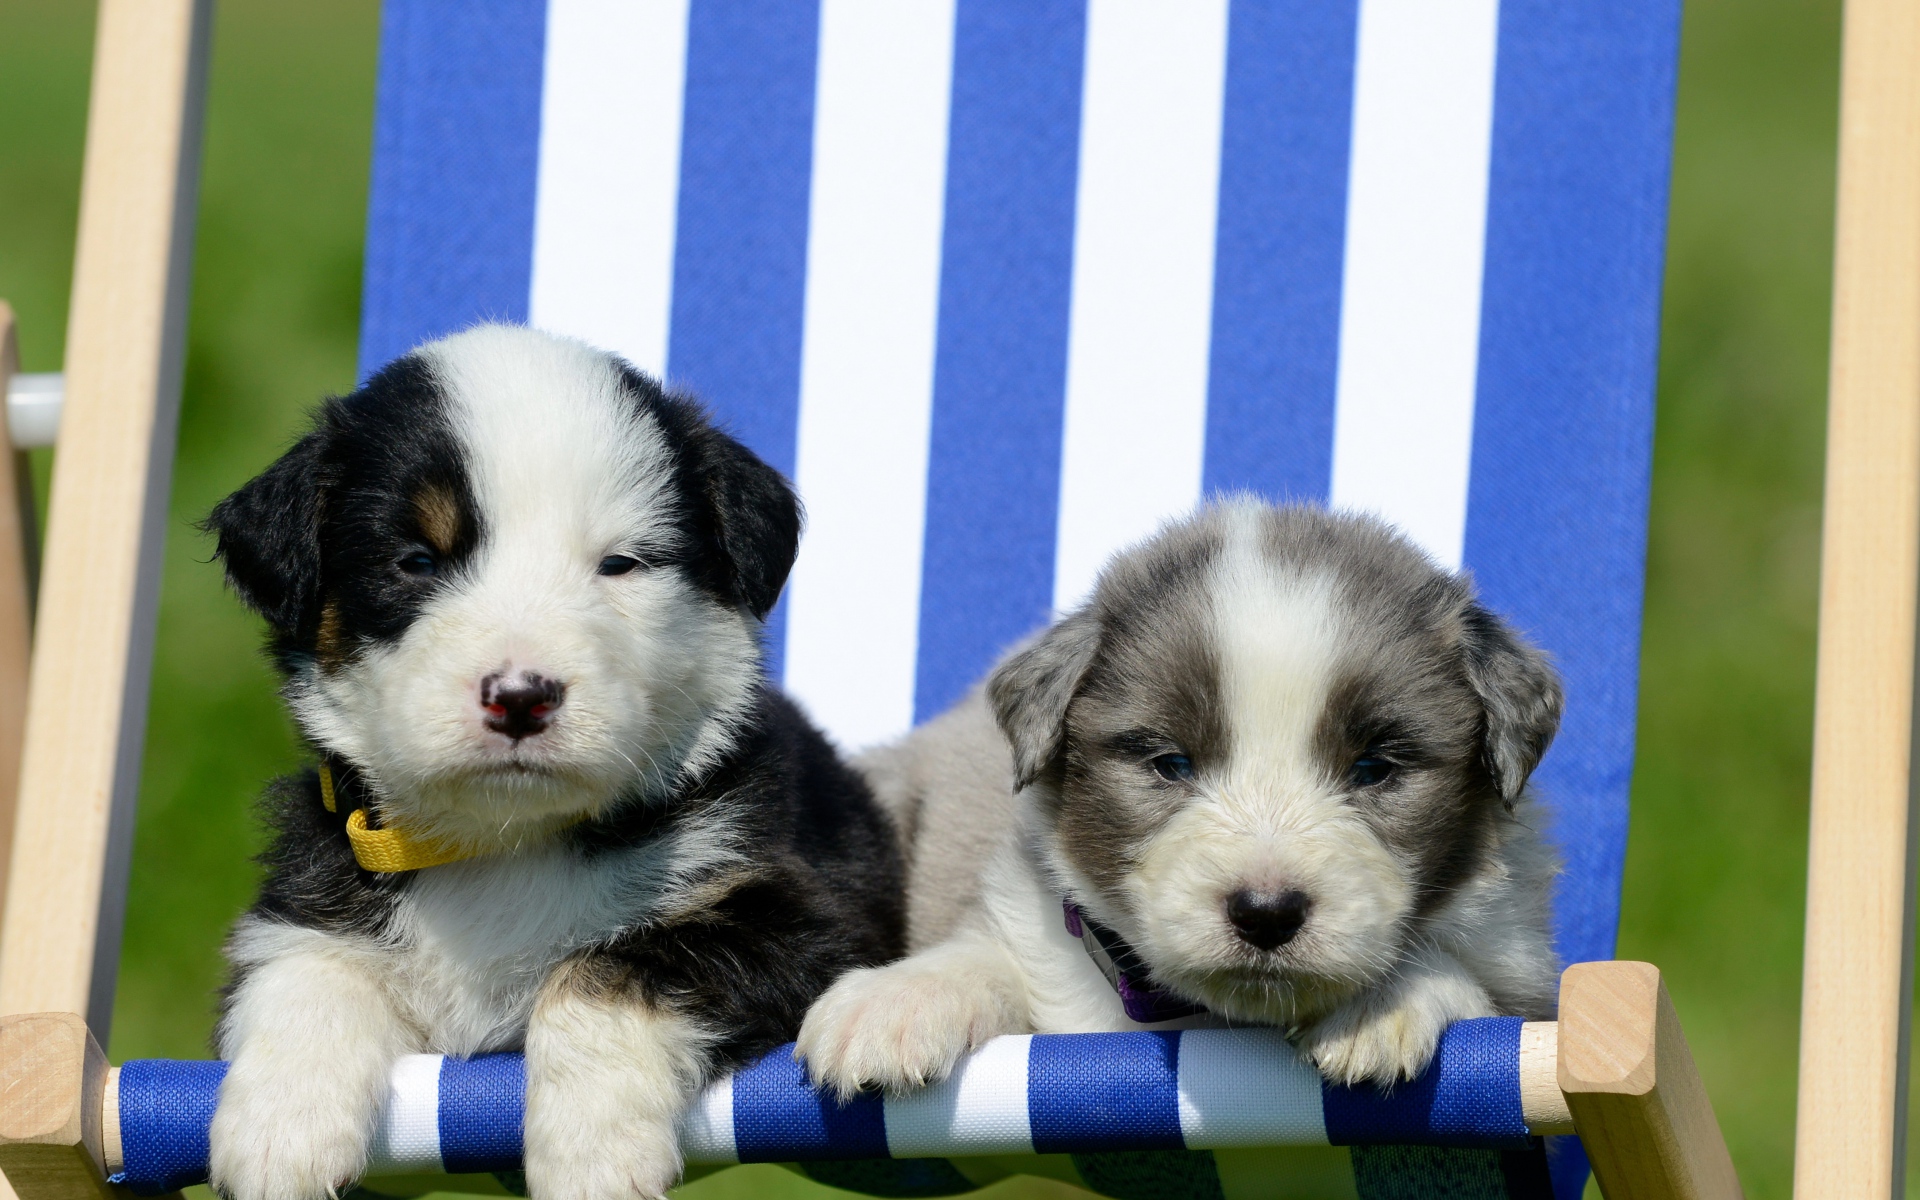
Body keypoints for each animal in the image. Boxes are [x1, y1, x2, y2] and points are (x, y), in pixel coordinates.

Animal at [206, 322, 902, 1198]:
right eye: (417, 561)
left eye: (621, 564)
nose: (520, 696)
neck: (507, 843)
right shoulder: (317, 877)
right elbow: (304, 966)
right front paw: (278, 1129)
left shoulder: (807, 916)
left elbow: (605, 970)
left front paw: (592, 1152)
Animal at [794, 499, 1559, 1090]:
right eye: (1170, 764)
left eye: (1374, 769)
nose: (1266, 913)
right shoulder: (1030, 927)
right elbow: (982, 957)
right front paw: (892, 1002)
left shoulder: (1527, 984)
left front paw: (1380, 1003)